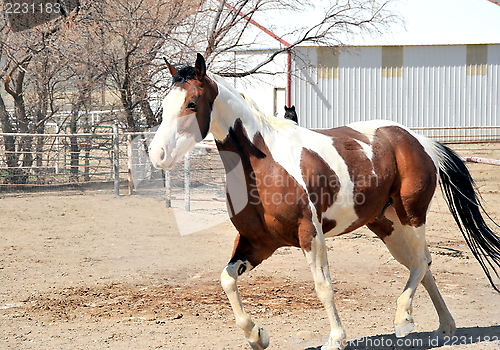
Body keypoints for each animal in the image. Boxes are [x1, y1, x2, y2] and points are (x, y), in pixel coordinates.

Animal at [150, 54, 500, 350]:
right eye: (164, 104)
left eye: (191, 103)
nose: (157, 155)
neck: (264, 166)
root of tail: (419, 141)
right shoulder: (257, 242)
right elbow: (227, 279)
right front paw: (256, 335)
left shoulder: (310, 234)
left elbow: (323, 285)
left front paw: (336, 339)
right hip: (386, 225)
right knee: (422, 263)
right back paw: (445, 327)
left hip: (411, 215)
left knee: (420, 262)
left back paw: (403, 320)